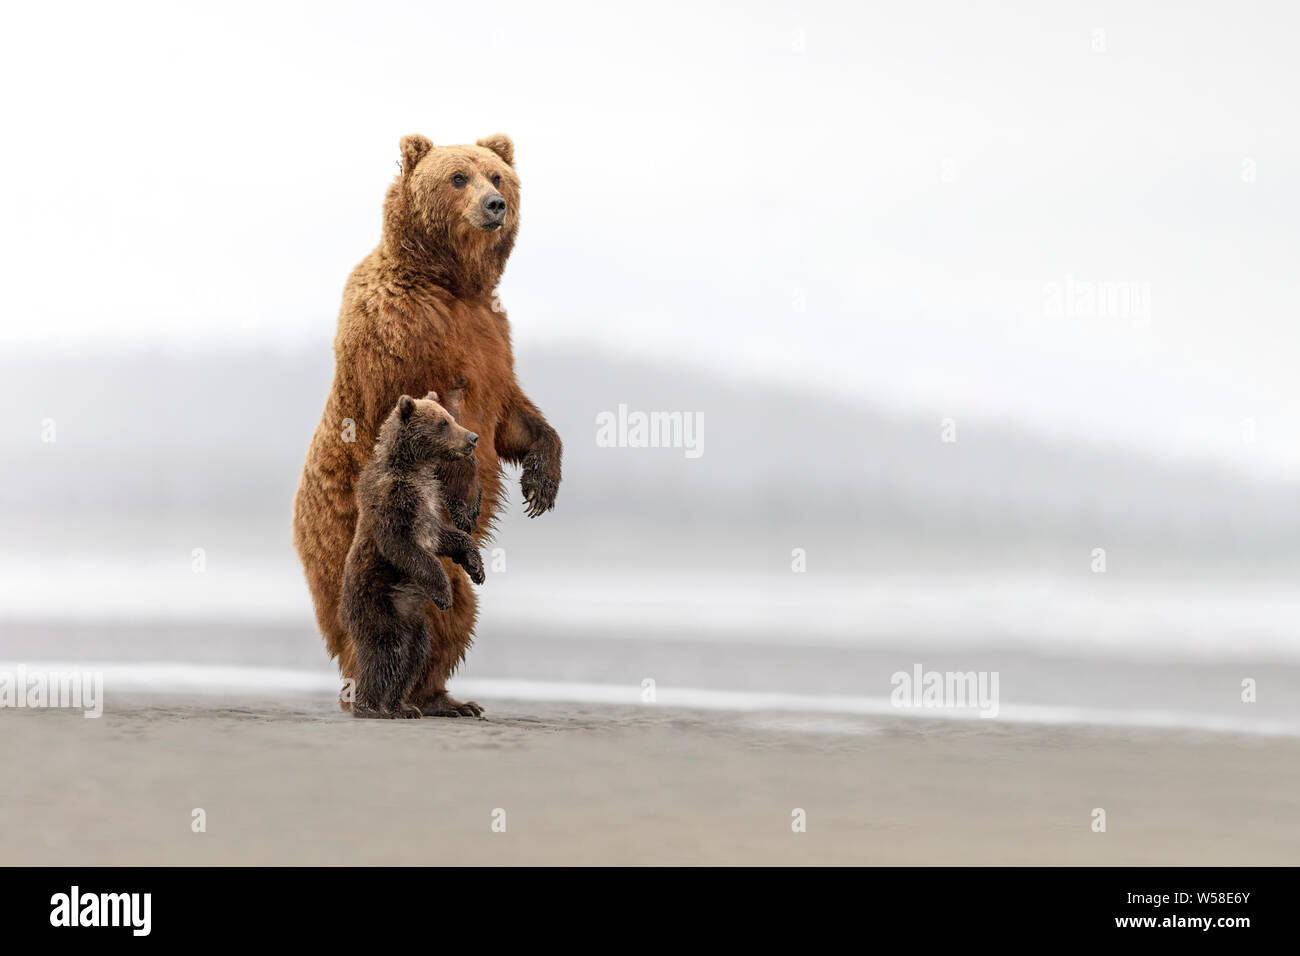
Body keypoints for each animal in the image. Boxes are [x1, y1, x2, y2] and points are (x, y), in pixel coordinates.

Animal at [340, 392, 488, 723]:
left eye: (451, 417)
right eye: (443, 422)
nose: (472, 438)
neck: (414, 467)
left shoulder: (431, 502)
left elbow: (448, 538)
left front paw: (477, 568)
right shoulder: (393, 502)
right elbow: (406, 548)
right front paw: (444, 593)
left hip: (415, 621)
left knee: (415, 655)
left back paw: (403, 706)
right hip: (377, 604)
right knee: (386, 652)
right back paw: (370, 706)